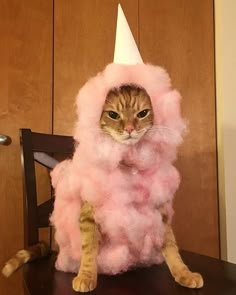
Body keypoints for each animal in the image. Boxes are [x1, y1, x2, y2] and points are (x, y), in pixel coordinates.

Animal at [1, 84, 204, 292]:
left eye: (143, 113)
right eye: (113, 115)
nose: (129, 129)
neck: (127, 166)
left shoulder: (160, 212)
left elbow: (171, 246)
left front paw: (184, 273)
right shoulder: (89, 214)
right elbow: (88, 249)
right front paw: (86, 276)